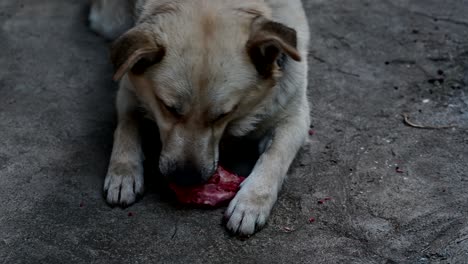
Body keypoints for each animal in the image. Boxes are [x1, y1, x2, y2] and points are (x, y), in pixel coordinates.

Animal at [89, 0, 310, 235]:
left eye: (223, 115)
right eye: (169, 108)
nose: (186, 178)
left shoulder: (295, 117)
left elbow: (274, 156)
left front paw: (251, 200)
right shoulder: (128, 88)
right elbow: (126, 126)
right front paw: (123, 171)